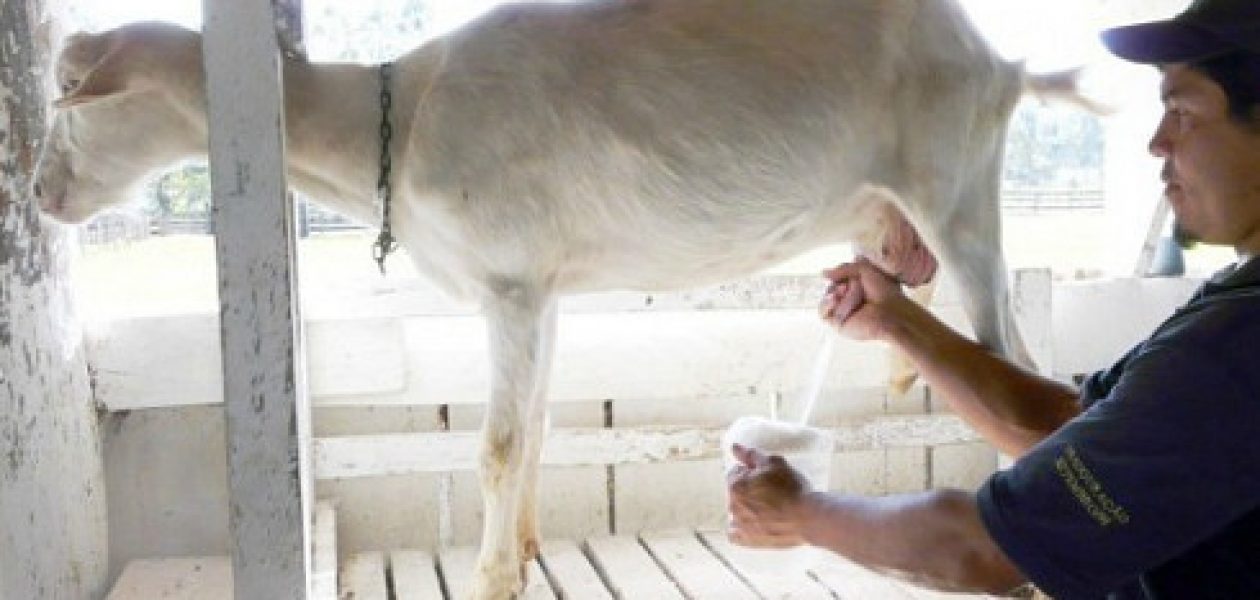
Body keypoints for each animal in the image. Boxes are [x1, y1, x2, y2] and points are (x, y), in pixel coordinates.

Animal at [36, 2, 1083, 597]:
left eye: (71, 92)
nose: (42, 193)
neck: (397, 124)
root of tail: (1002, 65)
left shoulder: (507, 284)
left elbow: (498, 445)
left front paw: (492, 576)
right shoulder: (538, 291)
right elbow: (536, 424)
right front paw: (528, 550)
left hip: (957, 188)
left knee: (1019, 367)